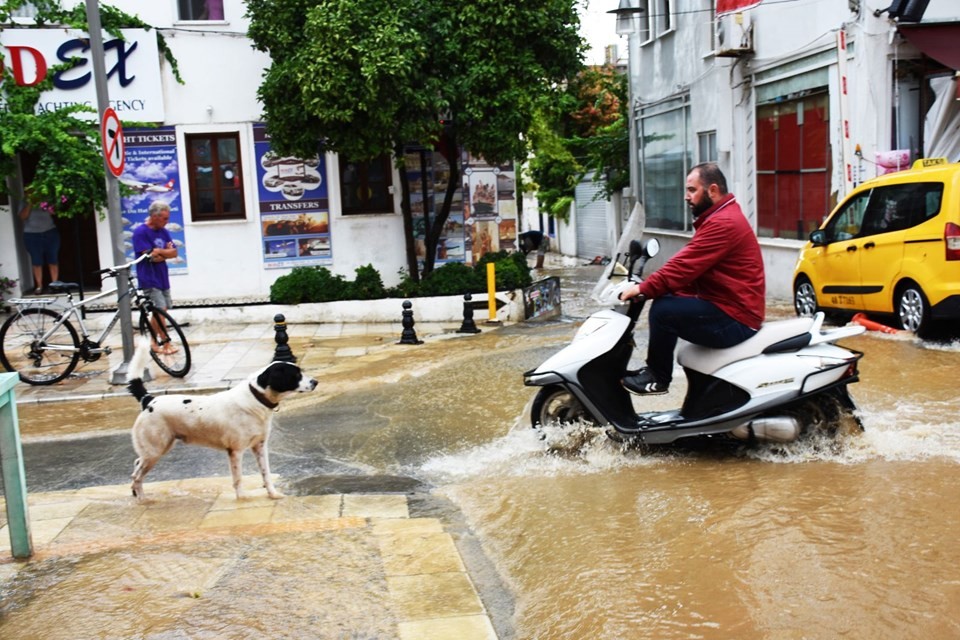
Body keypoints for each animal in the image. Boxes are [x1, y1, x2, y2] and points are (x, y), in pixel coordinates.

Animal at [124, 338, 316, 502]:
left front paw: (273, 494)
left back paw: (135, 493)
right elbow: (238, 478)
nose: (316, 382)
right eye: (296, 375)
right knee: (137, 476)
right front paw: (242, 498)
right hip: (155, 451)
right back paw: (142, 500)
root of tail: (149, 400)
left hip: (155, 449)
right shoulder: (236, 451)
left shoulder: (260, 446)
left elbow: (266, 473)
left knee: (136, 464)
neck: (255, 397)